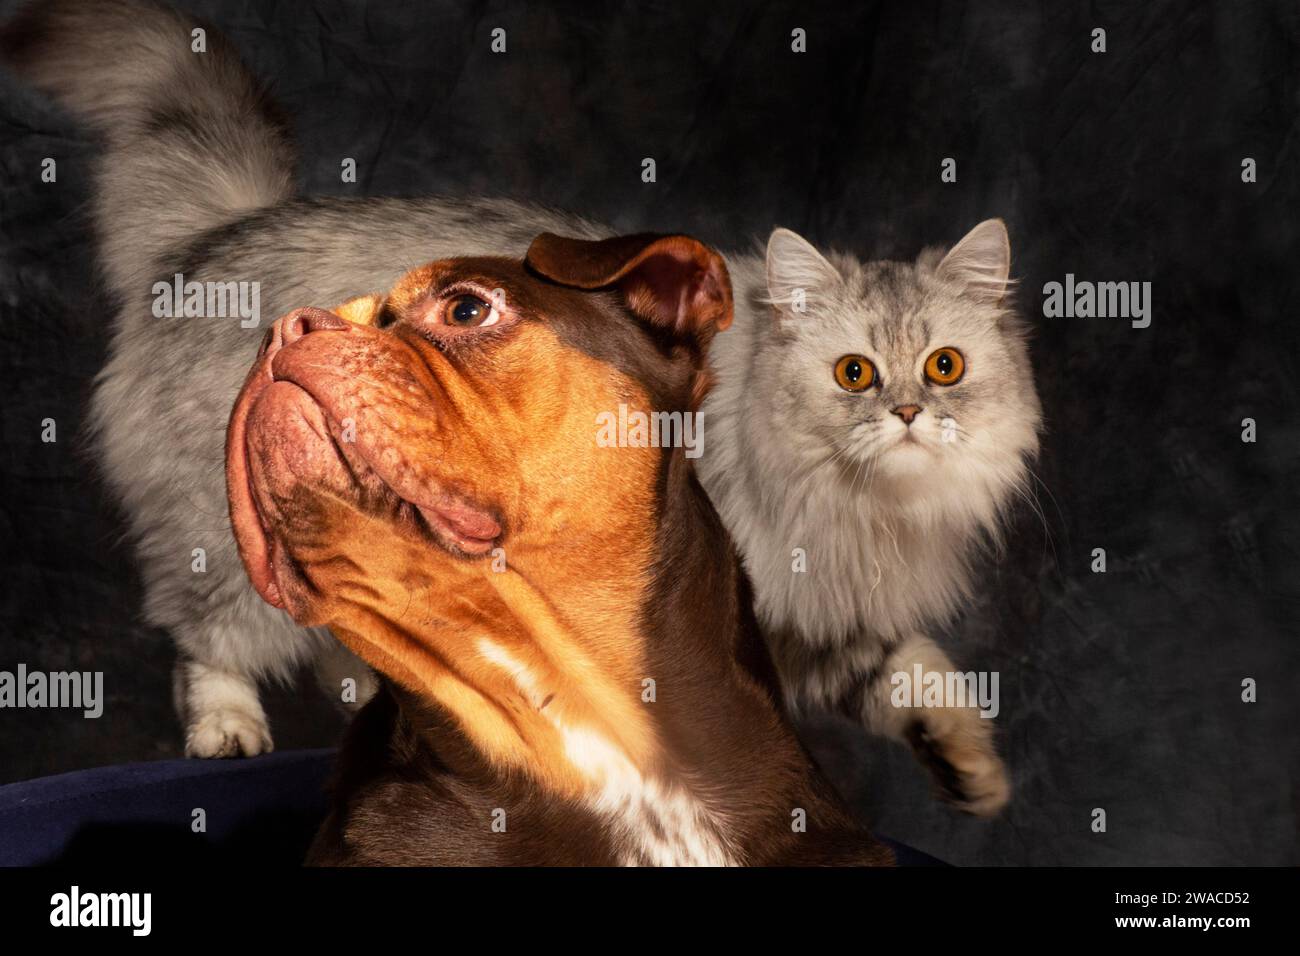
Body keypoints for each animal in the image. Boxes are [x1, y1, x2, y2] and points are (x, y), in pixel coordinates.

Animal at [696, 223, 1040, 816]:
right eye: (853, 373)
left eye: (944, 366)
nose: (907, 413)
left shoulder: (823, 616)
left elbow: (908, 670)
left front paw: (970, 771)